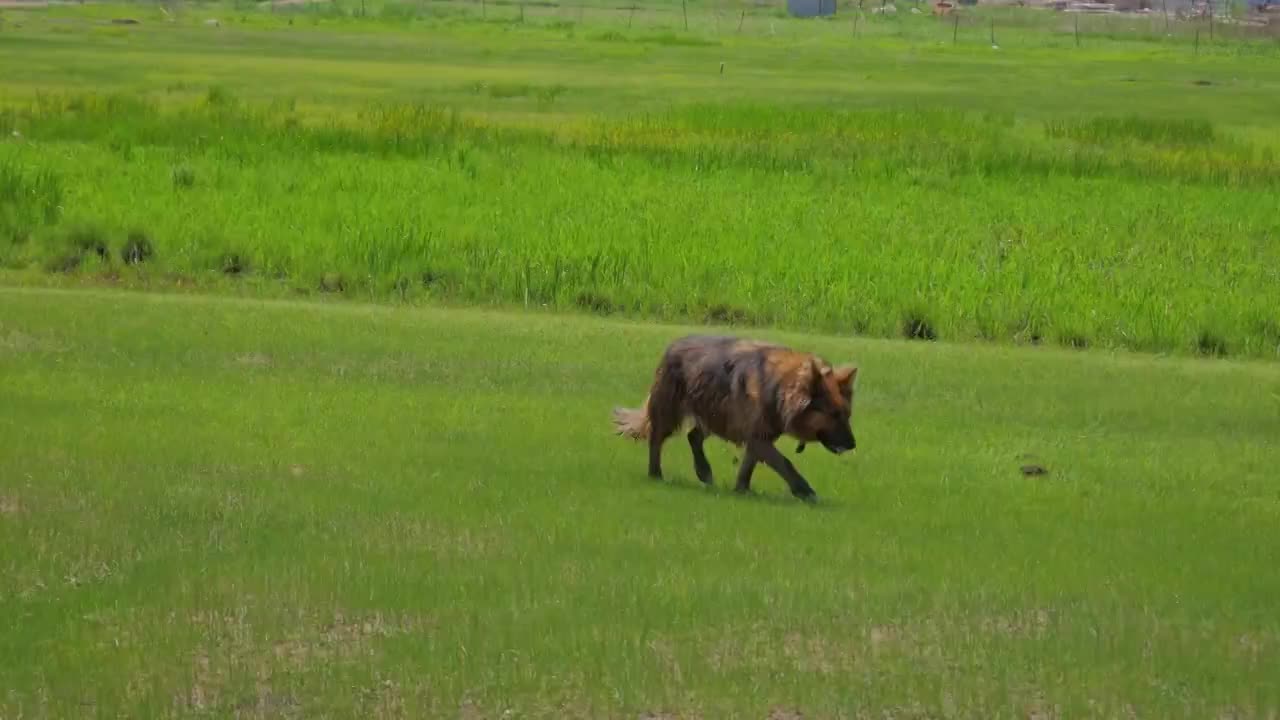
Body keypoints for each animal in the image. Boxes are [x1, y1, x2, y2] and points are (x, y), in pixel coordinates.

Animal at [611, 335, 860, 499]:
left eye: (847, 415)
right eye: (833, 415)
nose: (853, 445)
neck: (780, 388)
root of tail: (673, 345)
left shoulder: (759, 437)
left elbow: (748, 465)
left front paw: (742, 490)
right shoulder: (758, 437)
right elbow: (784, 463)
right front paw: (804, 491)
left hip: (714, 414)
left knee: (693, 436)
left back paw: (704, 471)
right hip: (670, 414)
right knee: (656, 440)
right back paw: (656, 474)